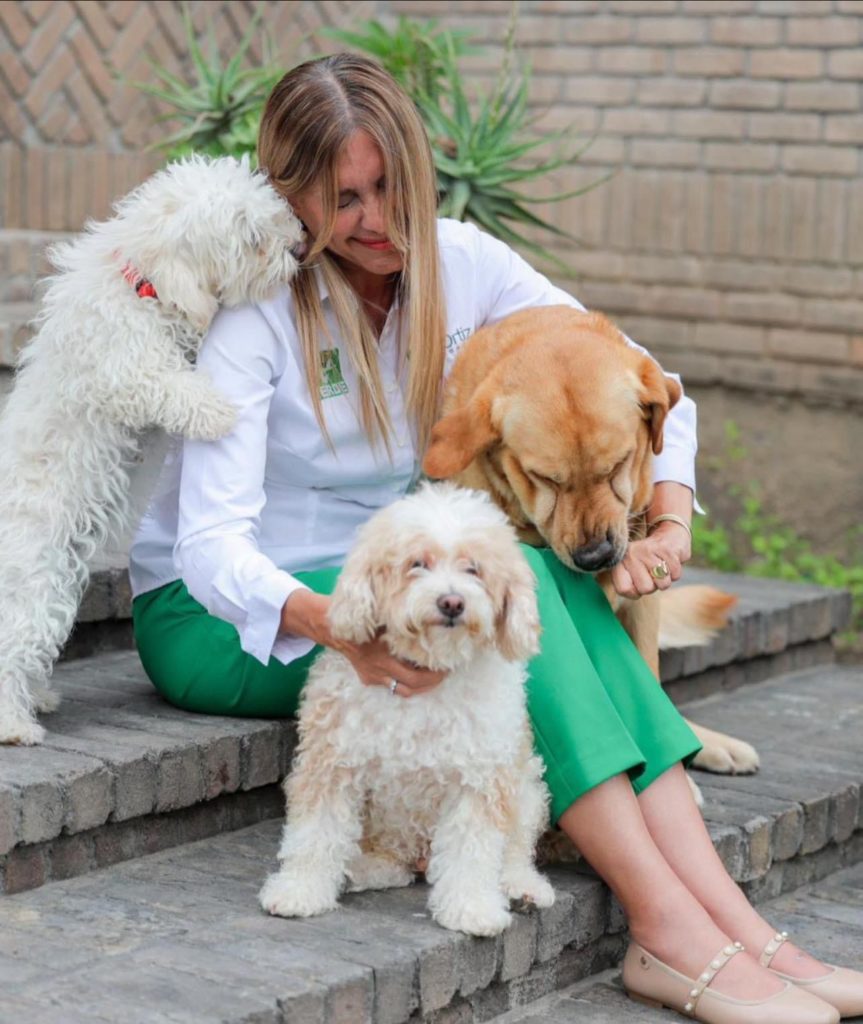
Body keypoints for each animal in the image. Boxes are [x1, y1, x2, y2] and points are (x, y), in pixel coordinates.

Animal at [0, 153, 303, 745]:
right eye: (253, 238)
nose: (296, 250)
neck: (140, 284)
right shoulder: (124, 364)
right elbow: (163, 384)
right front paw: (215, 410)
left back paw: (37, 699)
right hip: (32, 583)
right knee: (10, 647)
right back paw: (12, 724)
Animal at [257, 483, 552, 937]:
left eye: (474, 569)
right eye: (417, 564)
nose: (452, 603)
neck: (427, 670)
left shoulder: (481, 777)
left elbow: (474, 848)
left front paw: (472, 908)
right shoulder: (331, 761)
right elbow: (316, 832)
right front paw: (299, 890)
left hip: (527, 786)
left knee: (515, 849)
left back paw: (522, 886)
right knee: (389, 860)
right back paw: (361, 870)